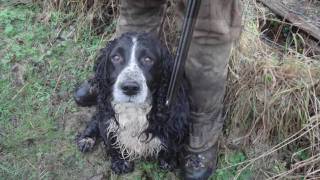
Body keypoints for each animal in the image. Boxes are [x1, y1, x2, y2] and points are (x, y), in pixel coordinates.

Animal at [76, 31, 189, 174]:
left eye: (148, 59)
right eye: (116, 57)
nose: (130, 88)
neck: (134, 109)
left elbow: (172, 143)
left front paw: (168, 161)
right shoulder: (108, 118)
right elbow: (111, 139)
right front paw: (121, 161)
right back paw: (86, 139)